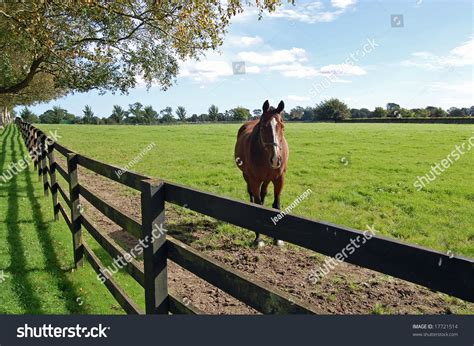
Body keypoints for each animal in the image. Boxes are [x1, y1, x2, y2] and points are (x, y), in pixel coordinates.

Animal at [234, 99, 288, 246]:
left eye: (282, 126)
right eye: (263, 126)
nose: (275, 159)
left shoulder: (279, 179)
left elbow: (276, 205)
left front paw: (277, 239)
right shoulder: (254, 179)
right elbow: (257, 206)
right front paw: (258, 239)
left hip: (267, 179)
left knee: (263, 194)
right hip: (247, 176)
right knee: (253, 197)